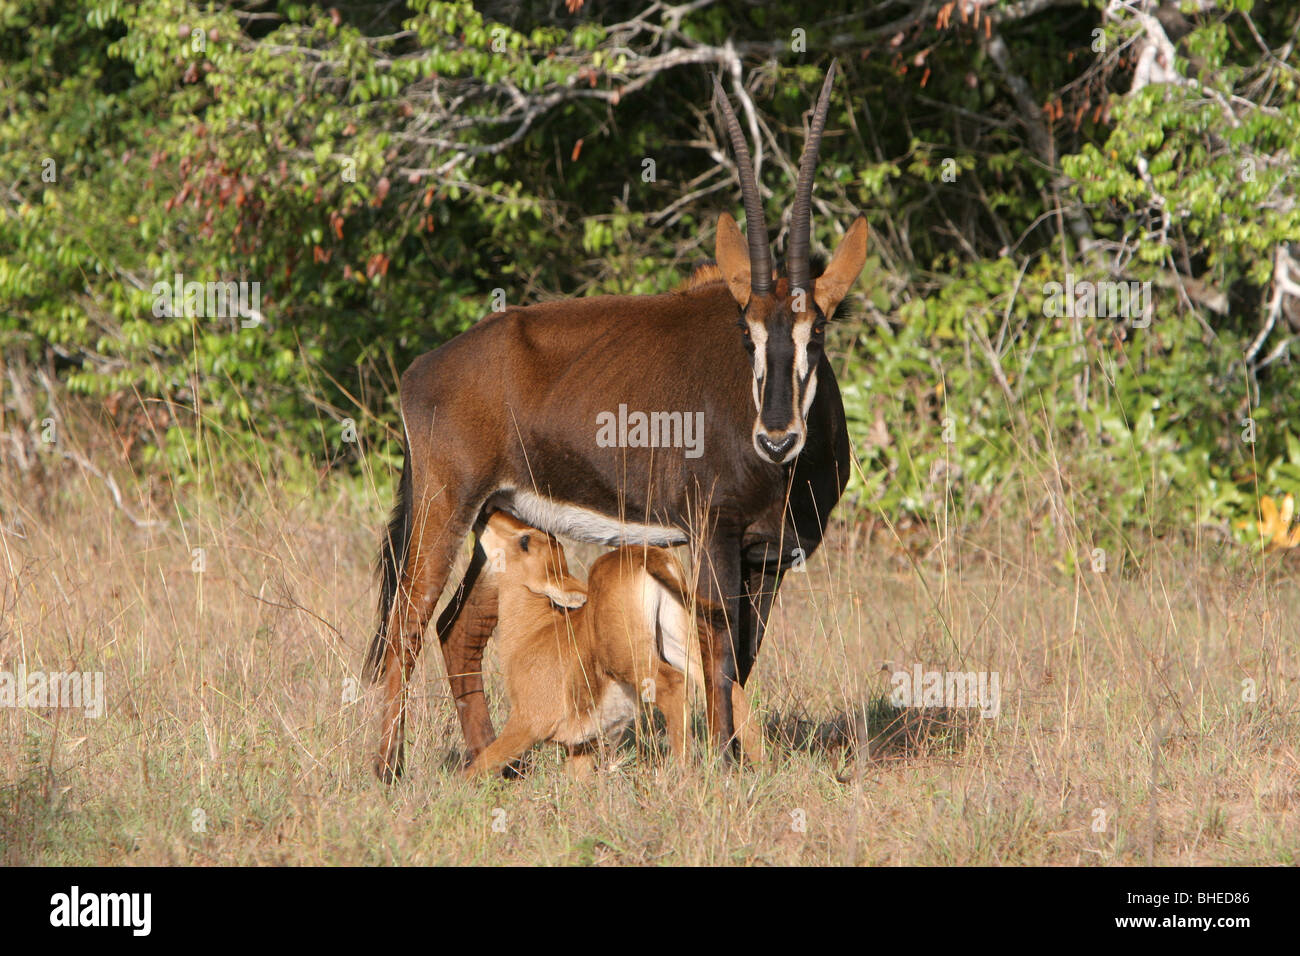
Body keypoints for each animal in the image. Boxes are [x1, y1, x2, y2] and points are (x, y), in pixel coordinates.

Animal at [467, 515, 759, 780]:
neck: (537, 629)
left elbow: (475, 769)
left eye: (525, 540)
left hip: (631, 661)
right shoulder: (581, 748)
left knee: (674, 686)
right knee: (725, 684)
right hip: (679, 646)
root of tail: (647, 556)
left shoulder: (526, 724)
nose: (488, 514)